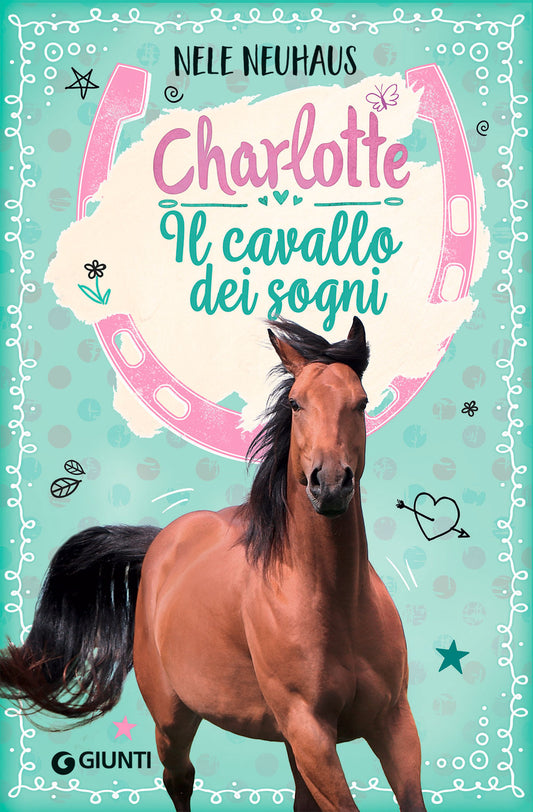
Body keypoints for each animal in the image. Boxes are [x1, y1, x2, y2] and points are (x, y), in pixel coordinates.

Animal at [0, 316, 426, 812]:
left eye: (361, 403)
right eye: (296, 404)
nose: (331, 484)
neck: (335, 602)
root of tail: (162, 542)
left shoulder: (393, 723)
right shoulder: (312, 733)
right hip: (174, 720)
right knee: (179, 779)